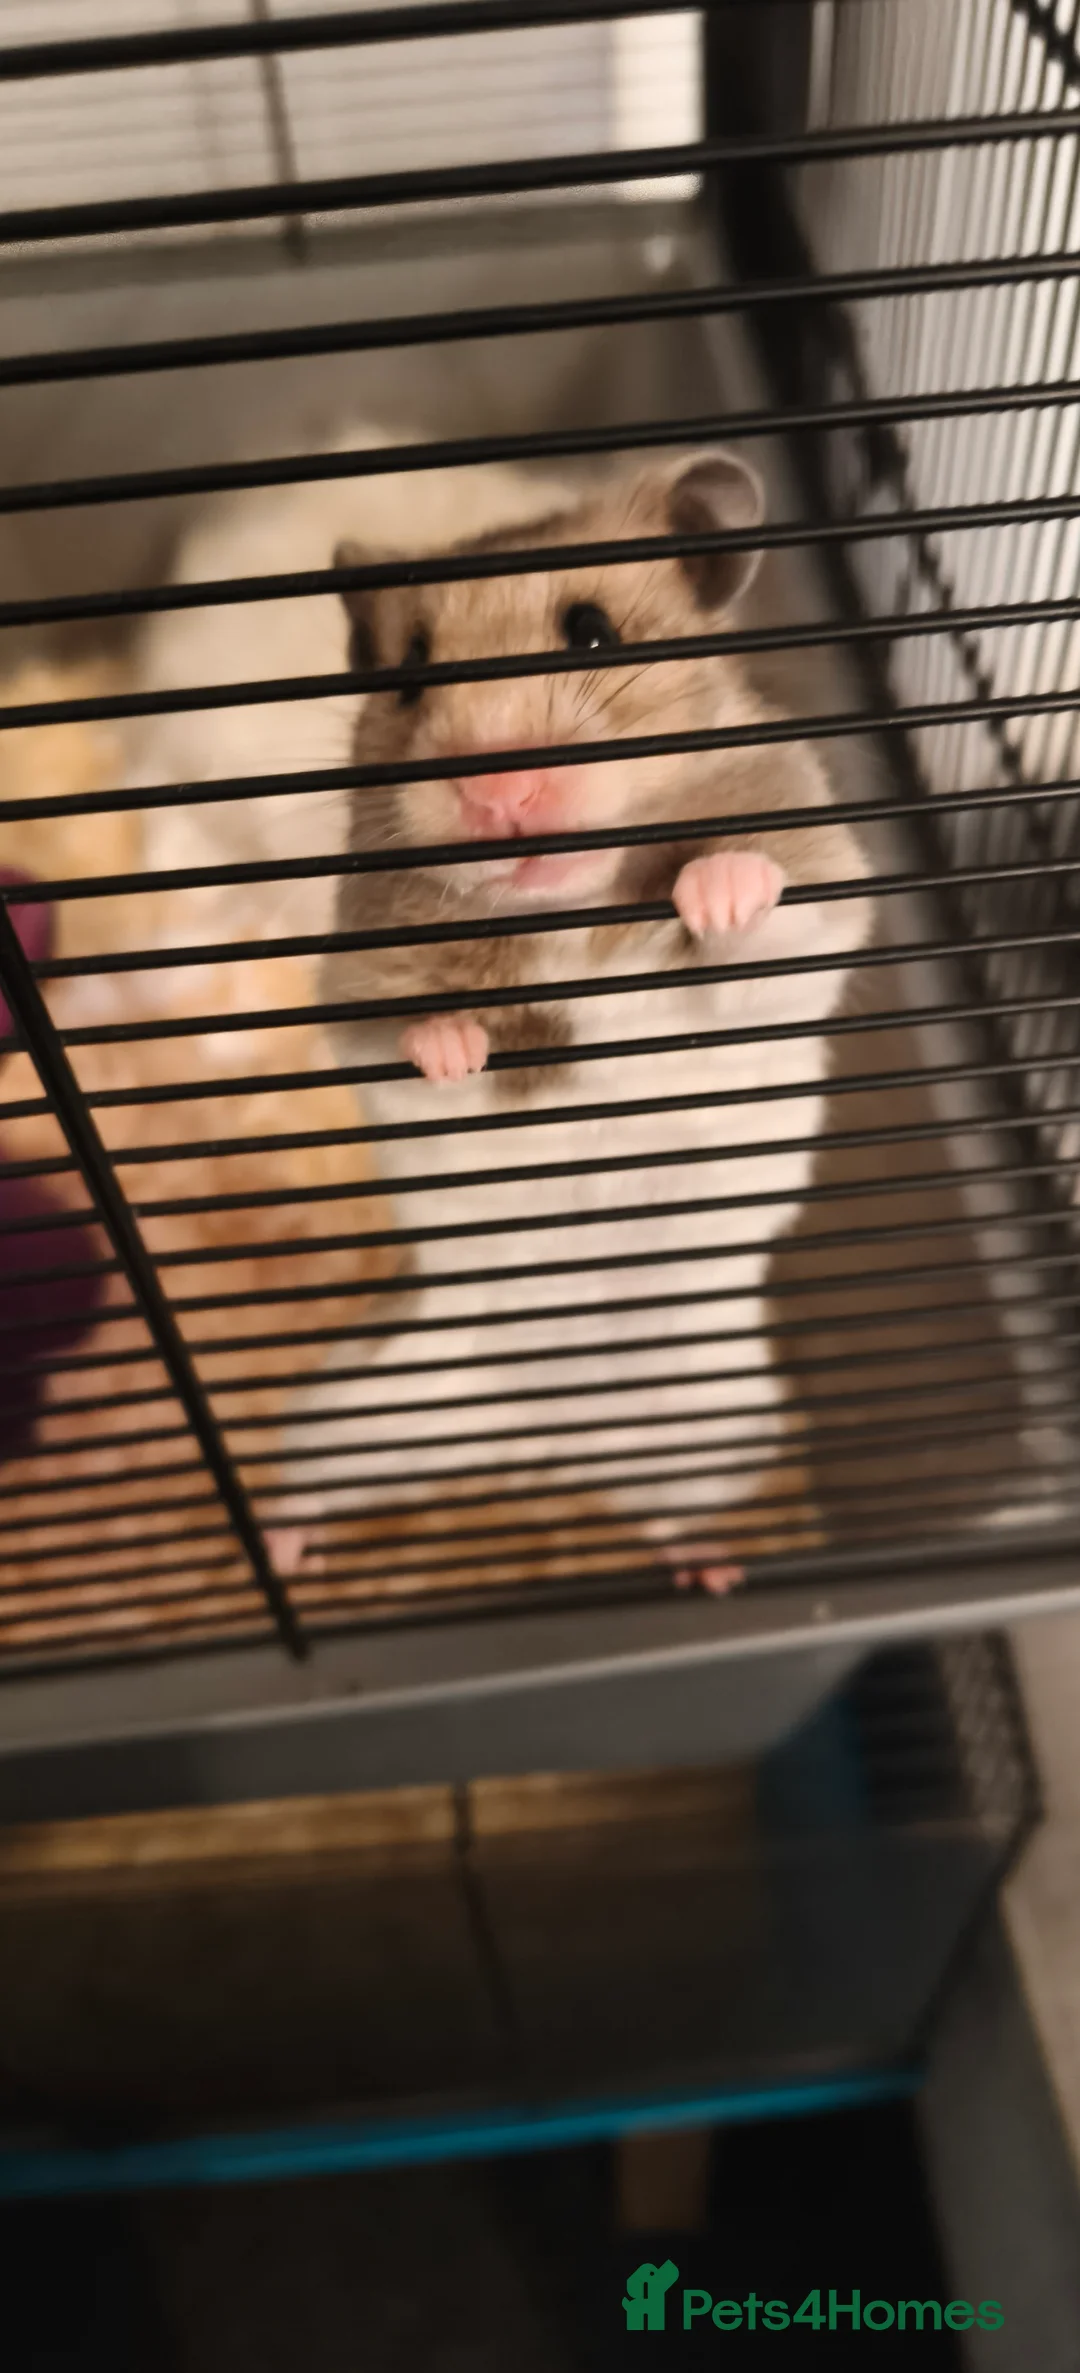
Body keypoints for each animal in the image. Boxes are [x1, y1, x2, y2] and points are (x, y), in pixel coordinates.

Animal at [276, 445, 874, 1593]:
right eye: (409, 672)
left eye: (592, 631)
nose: (499, 793)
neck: (565, 903)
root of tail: (547, 1440)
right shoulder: (352, 985)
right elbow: (402, 1032)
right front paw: (455, 1046)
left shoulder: (817, 907)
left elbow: (759, 935)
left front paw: (716, 889)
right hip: (359, 1406)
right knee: (314, 1477)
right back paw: (281, 1551)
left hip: (715, 1427)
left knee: (677, 1512)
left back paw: (713, 1571)